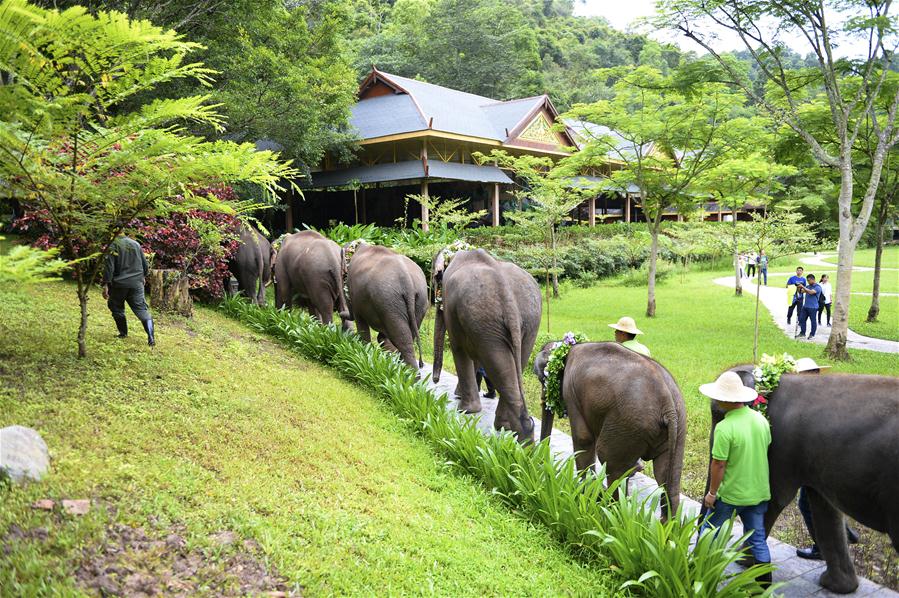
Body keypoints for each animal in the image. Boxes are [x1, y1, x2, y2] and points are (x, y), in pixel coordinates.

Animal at [432, 248, 541, 443]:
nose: (435, 380)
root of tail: (508, 297)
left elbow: (459, 348)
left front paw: (465, 409)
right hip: (527, 321)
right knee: (513, 363)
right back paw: (518, 431)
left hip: (484, 317)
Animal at [533, 341, 687, 520]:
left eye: (542, 378)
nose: (541, 466)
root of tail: (667, 403)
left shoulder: (570, 392)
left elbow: (583, 438)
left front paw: (583, 495)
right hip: (676, 427)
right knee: (667, 478)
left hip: (628, 424)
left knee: (611, 463)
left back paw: (611, 513)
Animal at [704, 369, 899, 594]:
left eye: (717, 413)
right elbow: (824, 511)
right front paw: (837, 586)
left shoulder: (779, 445)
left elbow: (772, 501)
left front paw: (742, 560)